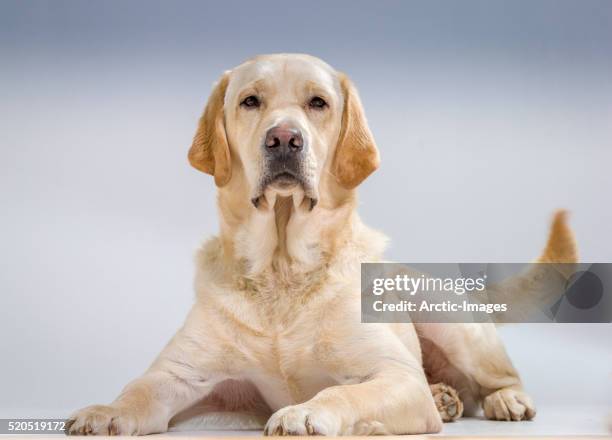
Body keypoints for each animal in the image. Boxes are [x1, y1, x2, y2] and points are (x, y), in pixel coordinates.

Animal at [67, 53, 580, 434]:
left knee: (499, 375)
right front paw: (105, 411)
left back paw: (506, 399)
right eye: (250, 101)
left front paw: (306, 412)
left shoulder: (396, 377)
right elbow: (139, 389)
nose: (283, 139)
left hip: (445, 317)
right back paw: (444, 398)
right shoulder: (180, 374)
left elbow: (344, 390)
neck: (281, 268)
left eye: (318, 103)